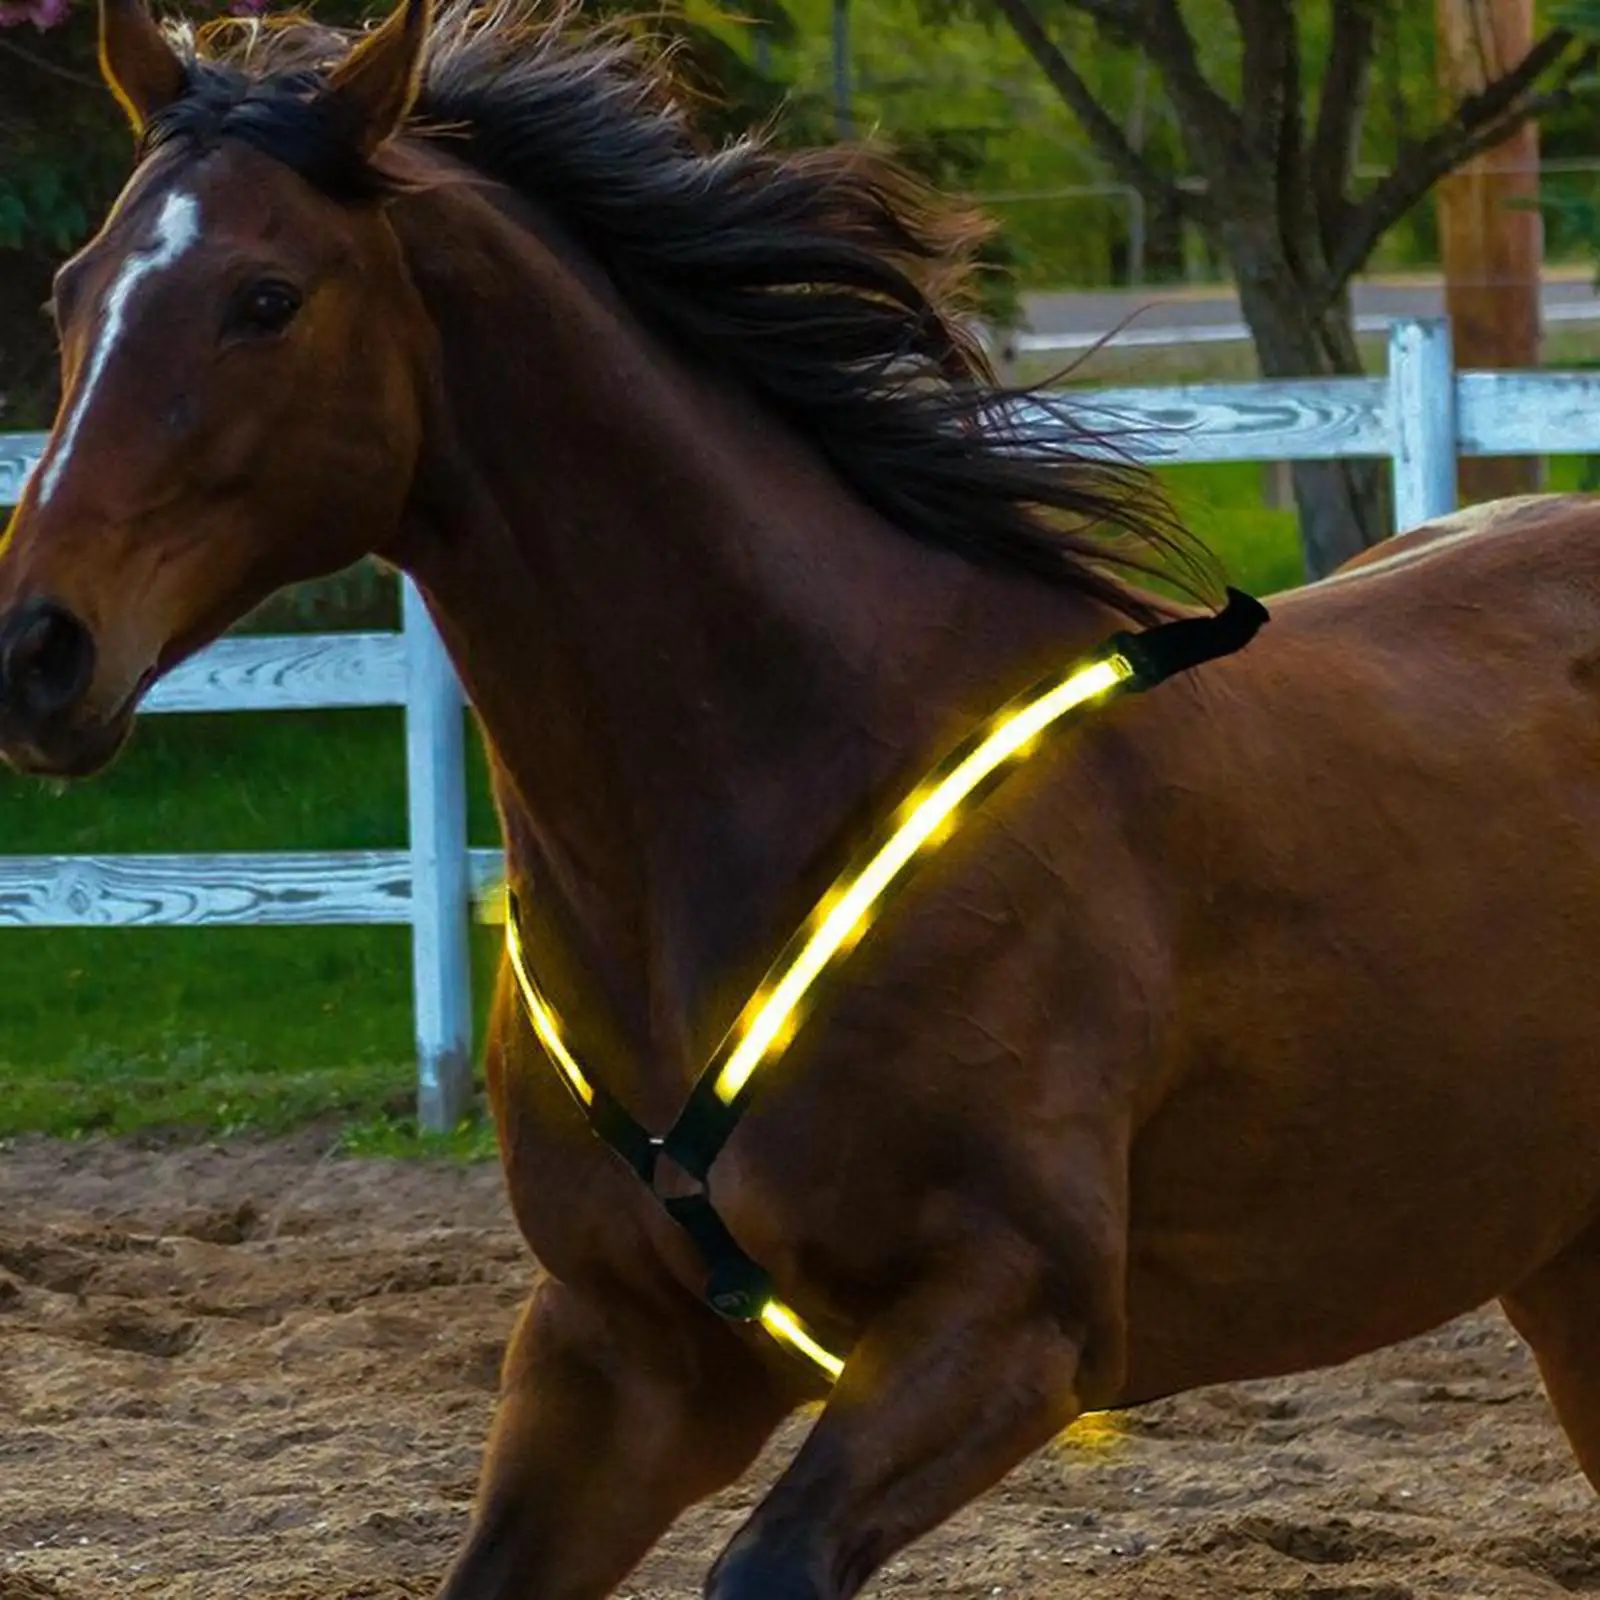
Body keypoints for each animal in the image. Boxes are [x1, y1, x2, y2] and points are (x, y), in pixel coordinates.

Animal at [3, 3, 1600, 1587]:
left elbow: (767, 1560)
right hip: (1558, 1268)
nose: (35, 647)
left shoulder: (1014, 1317)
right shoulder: (624, 1354)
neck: (793, 782)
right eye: (71, 294)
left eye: (266, 298)